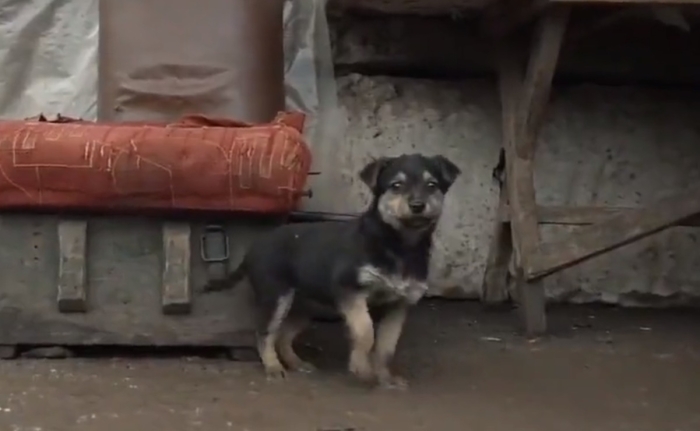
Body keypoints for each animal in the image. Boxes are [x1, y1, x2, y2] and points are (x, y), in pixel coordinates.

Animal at [205, 154, 462, 388]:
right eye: (396, 186)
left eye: (432, 185)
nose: (417, 205)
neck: (399, 245)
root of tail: (254, 246)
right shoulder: (349, 290)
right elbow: (365, 331)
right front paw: (361, 368)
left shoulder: (399, 305)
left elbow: (386, 347)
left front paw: (385, 377)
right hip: (276, 296)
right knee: (265, 333)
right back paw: (273, 366)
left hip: (305, 306)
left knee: (284, 335)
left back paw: (296, 363)